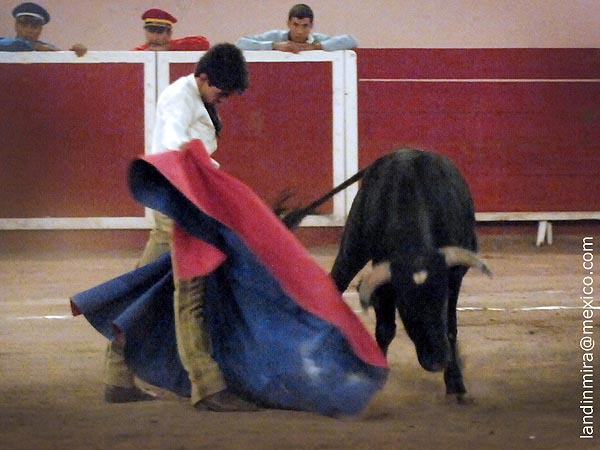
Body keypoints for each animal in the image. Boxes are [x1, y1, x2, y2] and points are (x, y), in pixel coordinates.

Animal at [282, 149, 492, 402]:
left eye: (440, 302)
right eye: (407, 309)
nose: (436, 361)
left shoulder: (454, 278)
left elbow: (450, 328)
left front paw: (456, 384)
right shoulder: (383, 280)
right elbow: (385, 329)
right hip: (352, 249)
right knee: (336, 282)